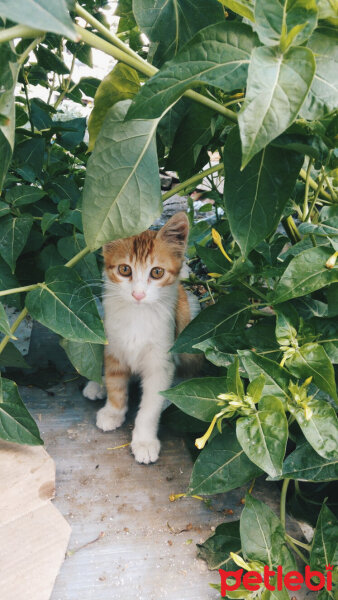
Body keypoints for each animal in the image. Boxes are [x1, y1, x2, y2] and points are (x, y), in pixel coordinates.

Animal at [83, 213, 199, 466]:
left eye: (156, 272)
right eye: (125, 269)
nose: (138, 294)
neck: (137, 315)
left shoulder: (161, 361)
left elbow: (150, 407)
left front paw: (144, 441)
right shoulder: (113, 346)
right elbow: (116, 384)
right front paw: (113, 411)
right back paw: (97, 383)